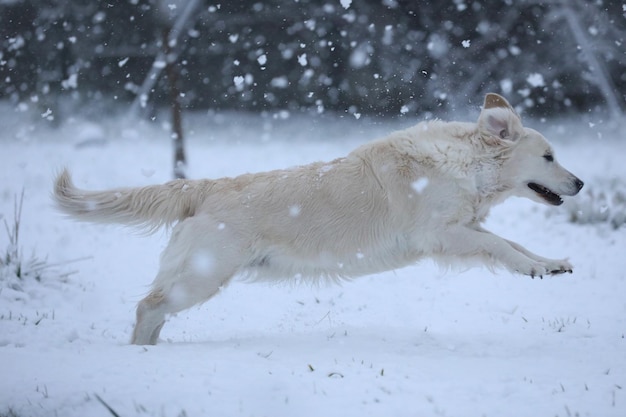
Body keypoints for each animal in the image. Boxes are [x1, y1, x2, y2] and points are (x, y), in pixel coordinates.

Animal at [52, 94, 580, 344]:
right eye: (549, 156)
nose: (579, 183)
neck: (468, 164)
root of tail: (206, 185)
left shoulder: (467, 227)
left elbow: (514, 244)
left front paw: (550, 264)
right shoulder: (443, 235)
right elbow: (501, 246)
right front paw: (534, 268)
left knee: (155, 309)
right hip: (203, 276)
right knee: (147, 307)